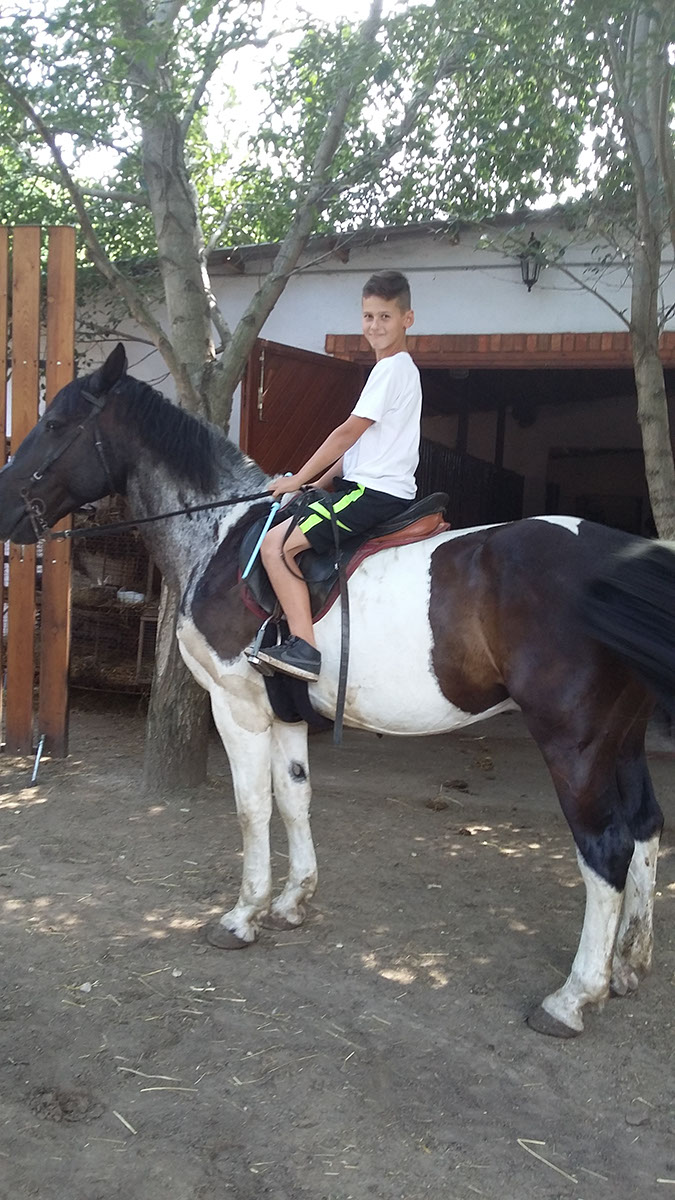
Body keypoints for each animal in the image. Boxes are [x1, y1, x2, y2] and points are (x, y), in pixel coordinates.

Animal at [0, 343, 667, 1039]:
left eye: (55, 424)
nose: (2, 510)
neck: (219, 534)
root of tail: (625, 558)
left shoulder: (236, 707)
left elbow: (252, 809)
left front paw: (242, 916)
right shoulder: (286, 713)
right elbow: (295, 800)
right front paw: (292, 902)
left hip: (574, 744)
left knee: (606, 850)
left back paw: (573, 997)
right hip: (622, 739)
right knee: (647, 829)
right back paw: (628, 966)